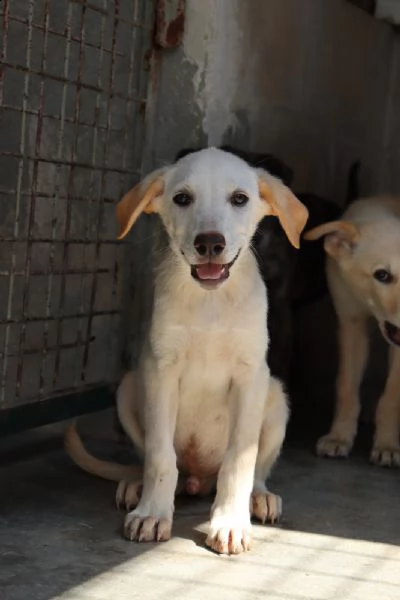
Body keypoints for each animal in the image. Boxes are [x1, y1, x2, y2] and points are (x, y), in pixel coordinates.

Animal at [65, 149, 306, 552]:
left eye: (239, 198)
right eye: (182, 198)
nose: (210, 243)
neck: (211, 302)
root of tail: (199, 478)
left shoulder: (250, 376)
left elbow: (240, 460)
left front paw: (230, 522)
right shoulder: (162, 370)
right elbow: (161, 456)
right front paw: (152, 514)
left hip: (275, 396)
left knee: (258, 468)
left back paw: (259, 497)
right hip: (129, 388)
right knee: (158, 462)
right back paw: (137, 486)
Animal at [304, 197, 400, 468]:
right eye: (382, 275)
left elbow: (391, 397)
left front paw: (387, 444)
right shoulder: (351, 324)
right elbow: (346, 387)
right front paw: (339, 437)